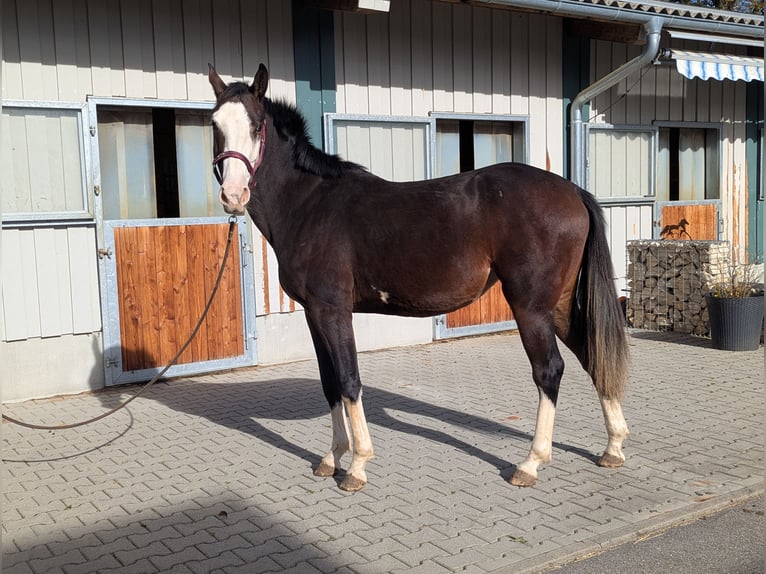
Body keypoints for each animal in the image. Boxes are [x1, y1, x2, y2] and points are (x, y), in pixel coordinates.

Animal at [208, 64, 630, 492]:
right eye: (215, 124)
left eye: (257, 125)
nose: (233, 196)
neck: (310, 204)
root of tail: (573, 191)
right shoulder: (313, 314)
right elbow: (329, 383)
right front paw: (332, 457)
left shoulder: (333, 311)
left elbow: (348, 380)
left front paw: (357, 465)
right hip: (556, 306)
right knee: (592, 355)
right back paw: (612, 447)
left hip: (531, 308)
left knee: (549, 371)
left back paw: (530, 463)